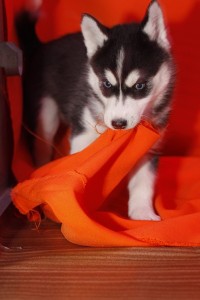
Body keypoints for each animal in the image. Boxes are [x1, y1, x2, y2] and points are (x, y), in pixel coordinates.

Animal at [15, 0, 175, 220]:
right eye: (106, 84)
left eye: (140, 85)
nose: (118, 123)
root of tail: (44, 46)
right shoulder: (84, 134)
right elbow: (79, 167)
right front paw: (78, 209)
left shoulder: (148, 143)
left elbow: (143, 182)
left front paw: (142, 213)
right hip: (46, 112)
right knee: (42, 143)